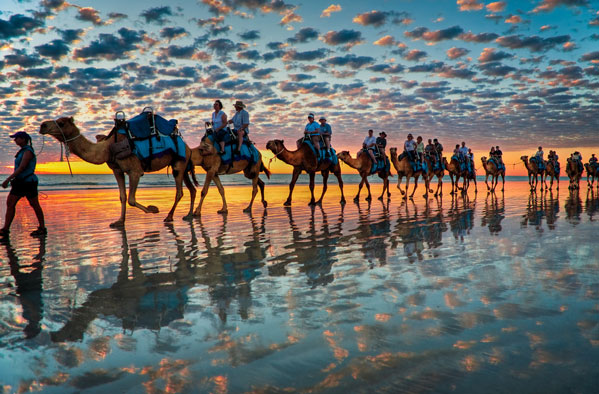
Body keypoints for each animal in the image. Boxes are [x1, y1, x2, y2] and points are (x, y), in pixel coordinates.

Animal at [40, 116, 197, 228]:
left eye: (61, 123)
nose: (43, 125)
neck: (107, 148)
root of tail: (188, 147)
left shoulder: (135, 171)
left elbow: (131, 199)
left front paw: (153, 209)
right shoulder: (117, 170)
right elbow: (122, 196)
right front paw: (119, 221)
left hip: (179, 164)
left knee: (179, 191)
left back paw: (169, 216)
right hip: (182, 166)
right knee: (192, 189)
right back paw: (189, 215)